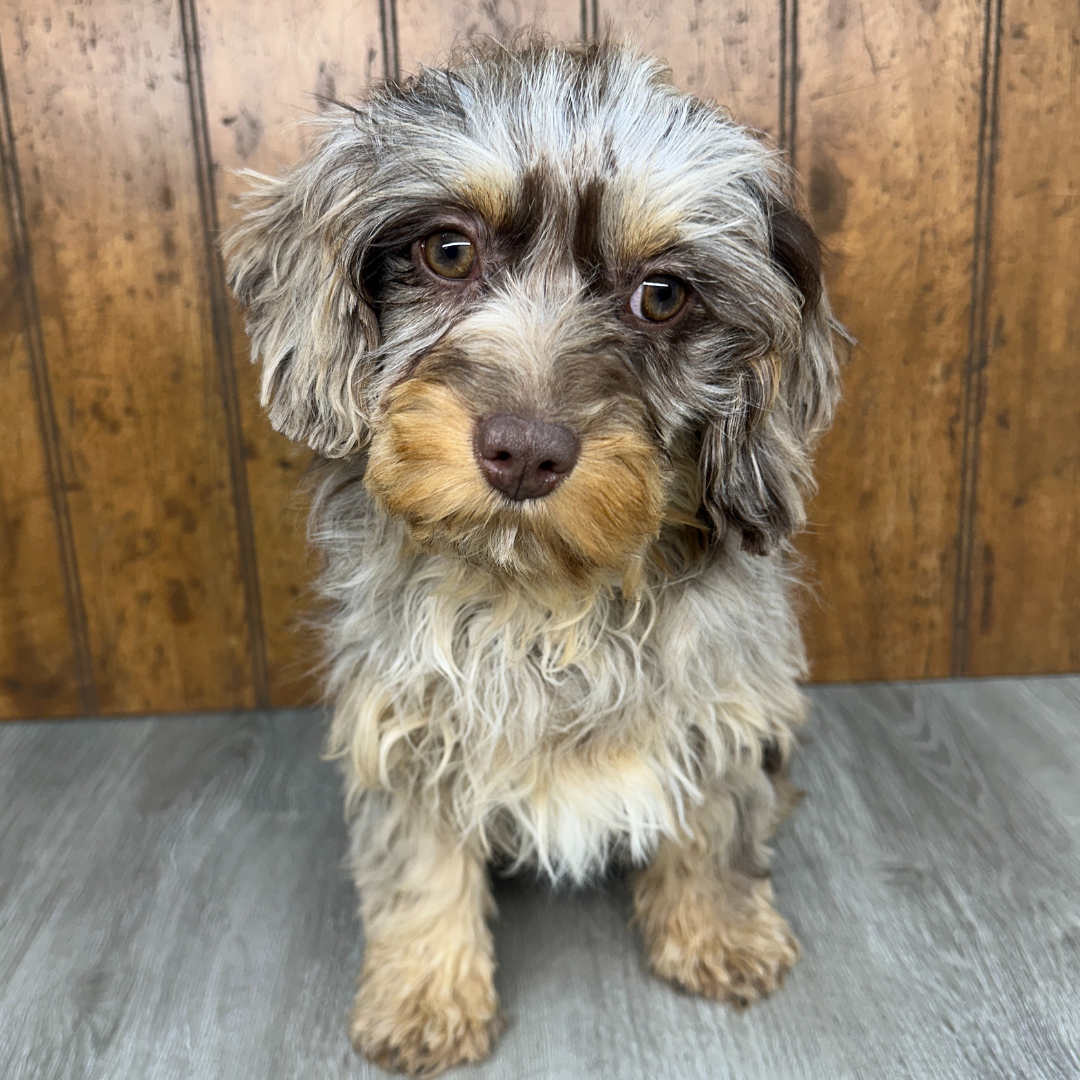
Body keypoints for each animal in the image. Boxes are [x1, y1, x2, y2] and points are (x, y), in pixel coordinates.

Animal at [225, 35, 842, 1080]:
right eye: (447, 251)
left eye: (662, 296)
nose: (524, 451)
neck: (544, 600)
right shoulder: (409, 720)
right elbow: (418, 863)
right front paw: (426, 993)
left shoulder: (724, 695)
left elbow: (716, 817)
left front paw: (719, 930)